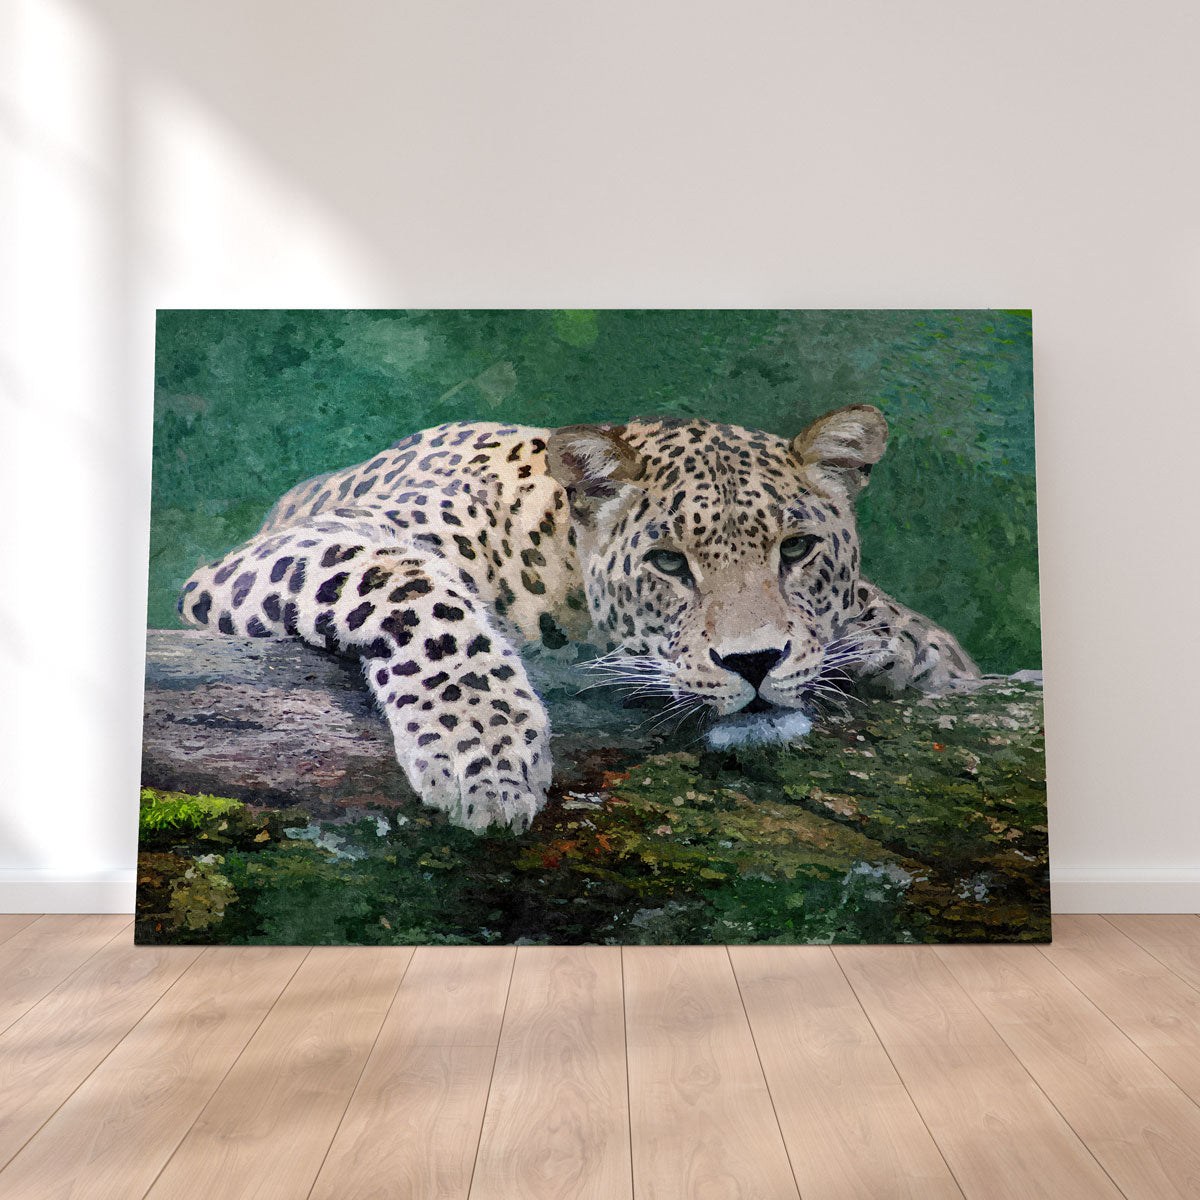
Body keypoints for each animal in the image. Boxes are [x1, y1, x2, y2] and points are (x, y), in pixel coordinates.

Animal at [177, 403, 979, 833]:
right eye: (668, 564)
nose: (753, 663)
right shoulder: (293, 549)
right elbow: (415, 590)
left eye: (798, 549)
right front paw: (485, 756)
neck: (556, 562)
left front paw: (898, 644)